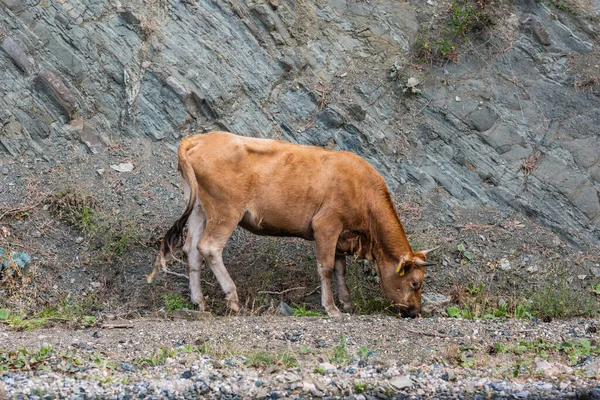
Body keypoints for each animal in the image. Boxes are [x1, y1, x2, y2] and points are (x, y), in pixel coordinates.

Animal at [147, 133, 434, 318]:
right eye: (415, 283)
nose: (415, 312)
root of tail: (198, 139)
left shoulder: (342, 234)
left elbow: (341, 269)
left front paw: (347, 303)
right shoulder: (326, 224)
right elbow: (327, 268)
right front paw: (331, 309)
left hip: (199, 208)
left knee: (191, 249)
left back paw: (199, 302)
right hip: (226, 210)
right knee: (208, 247)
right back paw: (233, 300)